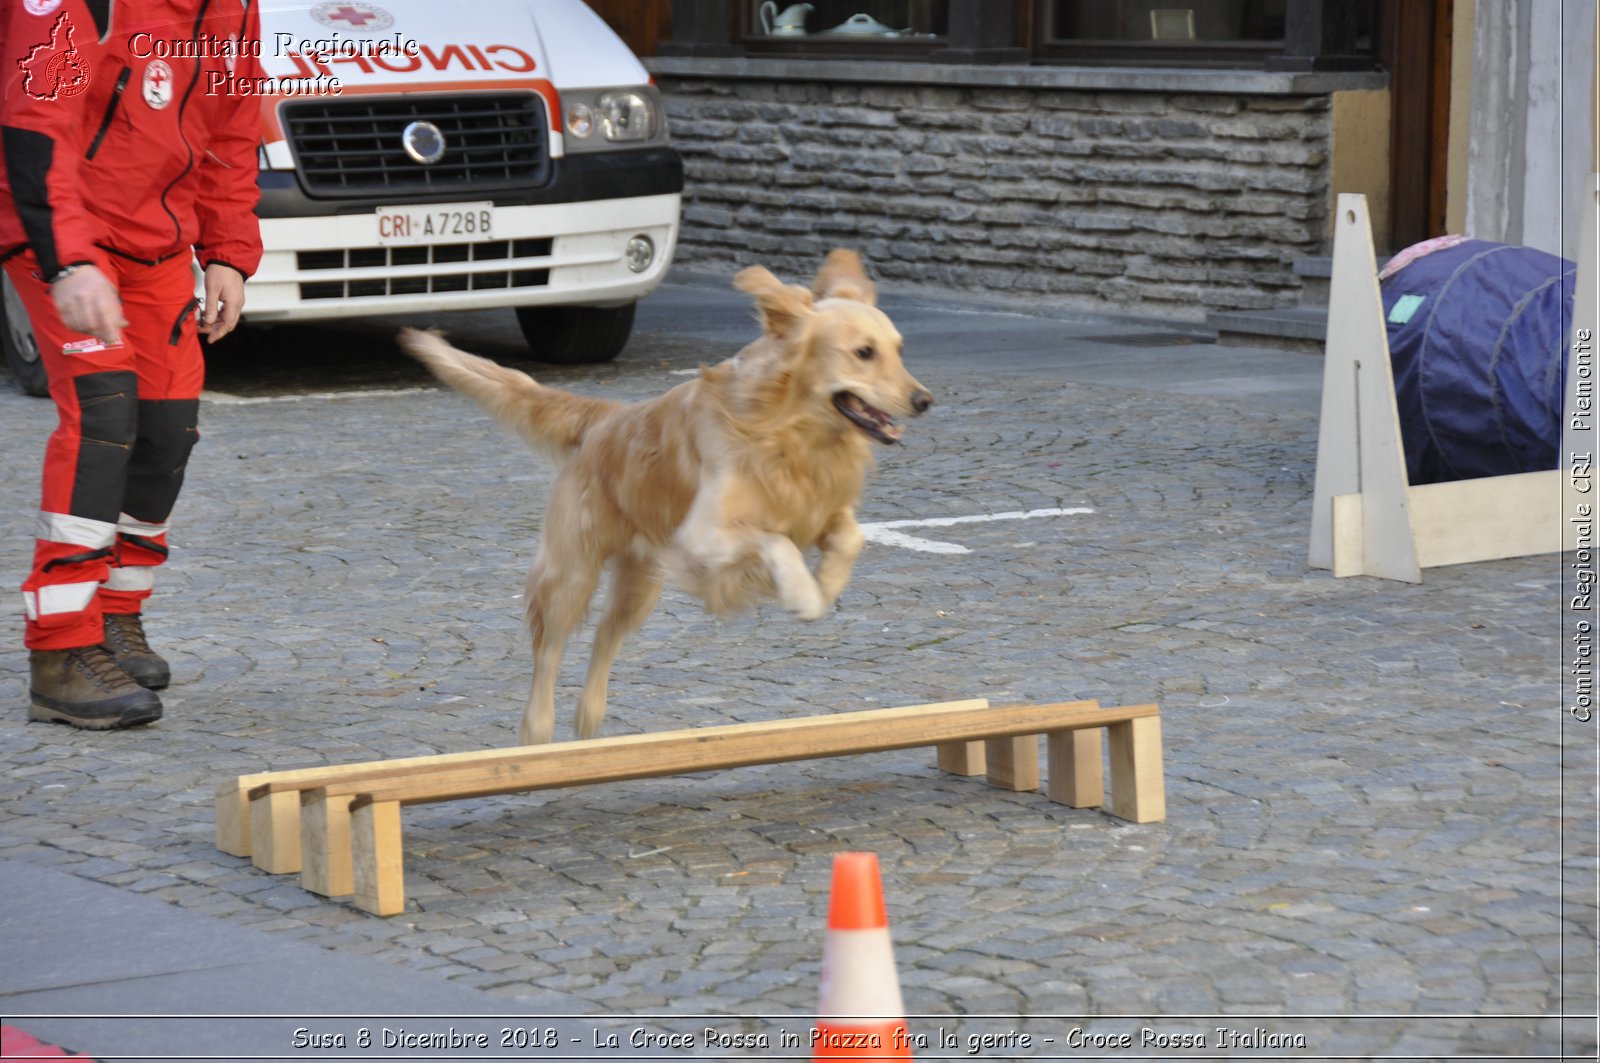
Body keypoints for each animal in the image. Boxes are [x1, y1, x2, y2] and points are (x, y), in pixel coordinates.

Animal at [396, 252, 934, 742]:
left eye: (900, 349)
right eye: (863, 352)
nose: (924, 399)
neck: (786, 430)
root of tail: (606, 415)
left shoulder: (819, 505)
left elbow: (852, 536)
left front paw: (826, 585)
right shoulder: (702, 536)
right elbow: (774, 541)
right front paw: (803, 594)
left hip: (640, 584)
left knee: (604, 636)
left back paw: (589, 716)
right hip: (573, 572)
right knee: (549, 646)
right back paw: (538, 728)